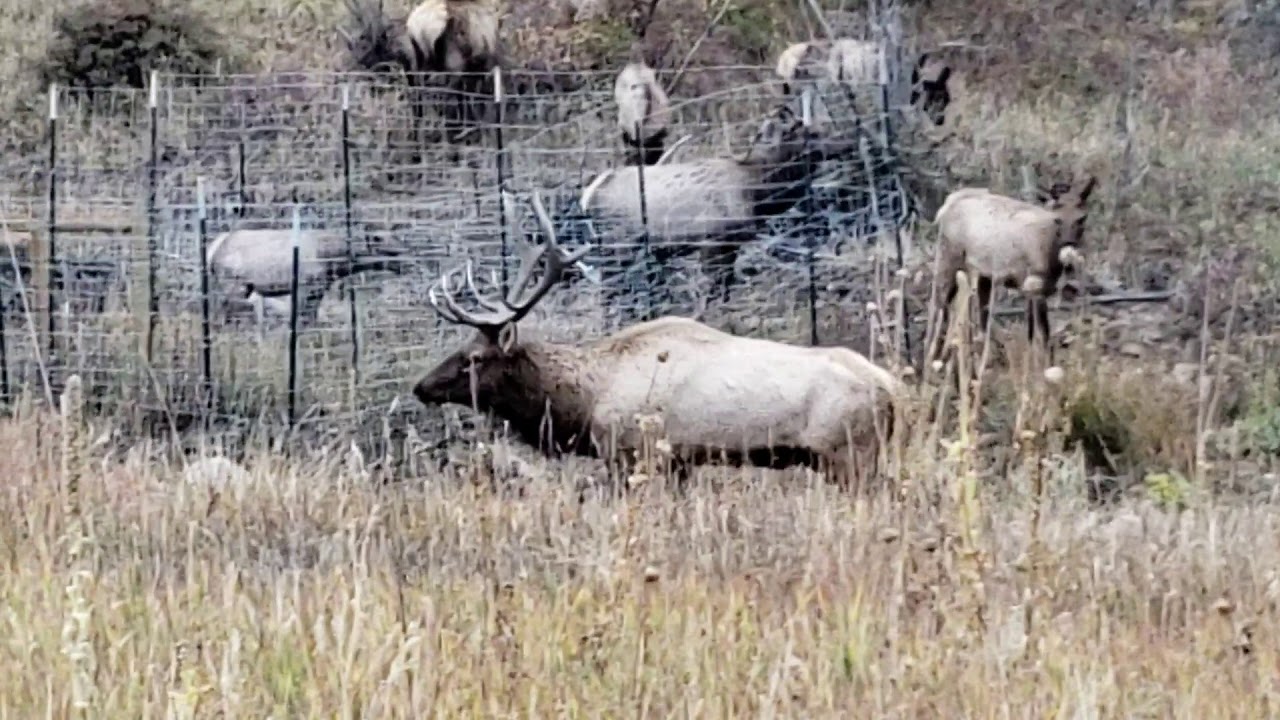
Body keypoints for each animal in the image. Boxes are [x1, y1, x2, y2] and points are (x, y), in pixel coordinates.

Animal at [411, 192, 901, 490]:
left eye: (473, 357)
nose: (420, 387)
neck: (584, 403)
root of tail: (895, 392)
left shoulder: (634, 453)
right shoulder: (678, 463)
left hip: (849, 455)